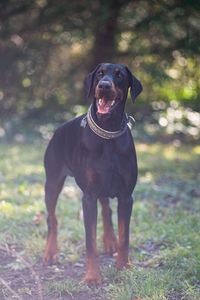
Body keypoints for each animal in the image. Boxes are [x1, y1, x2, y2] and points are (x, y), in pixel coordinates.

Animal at [43, 62, 143, 284]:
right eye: (99, 74)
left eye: (119, 75)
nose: (104, 85)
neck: (108, 133)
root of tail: (57, 130)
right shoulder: (88, 197)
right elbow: (90, 242)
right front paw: (92, 277)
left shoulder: (126, 196)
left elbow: (125, 236)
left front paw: (124, 266)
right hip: (52, 182)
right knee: (52, 219)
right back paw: (50, 253)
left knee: (106, 209)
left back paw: (110, 241)